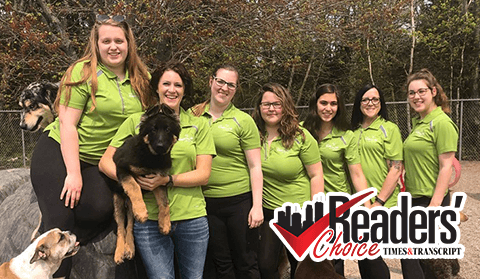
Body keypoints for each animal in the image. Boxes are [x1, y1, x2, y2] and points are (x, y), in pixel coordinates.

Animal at [112, 104, 182, 264]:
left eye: (168, 130)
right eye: (153, 130)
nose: (161, 146)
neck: (152, 157)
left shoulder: (158, 180)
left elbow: (164, 202)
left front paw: (165, 224)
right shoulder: (122, 167)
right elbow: (134, 186)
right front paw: (142, 211)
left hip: (128, 208)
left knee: (130, 226)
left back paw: (129, 248)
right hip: (118, 202)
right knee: (120, 227)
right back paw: (119, 252)